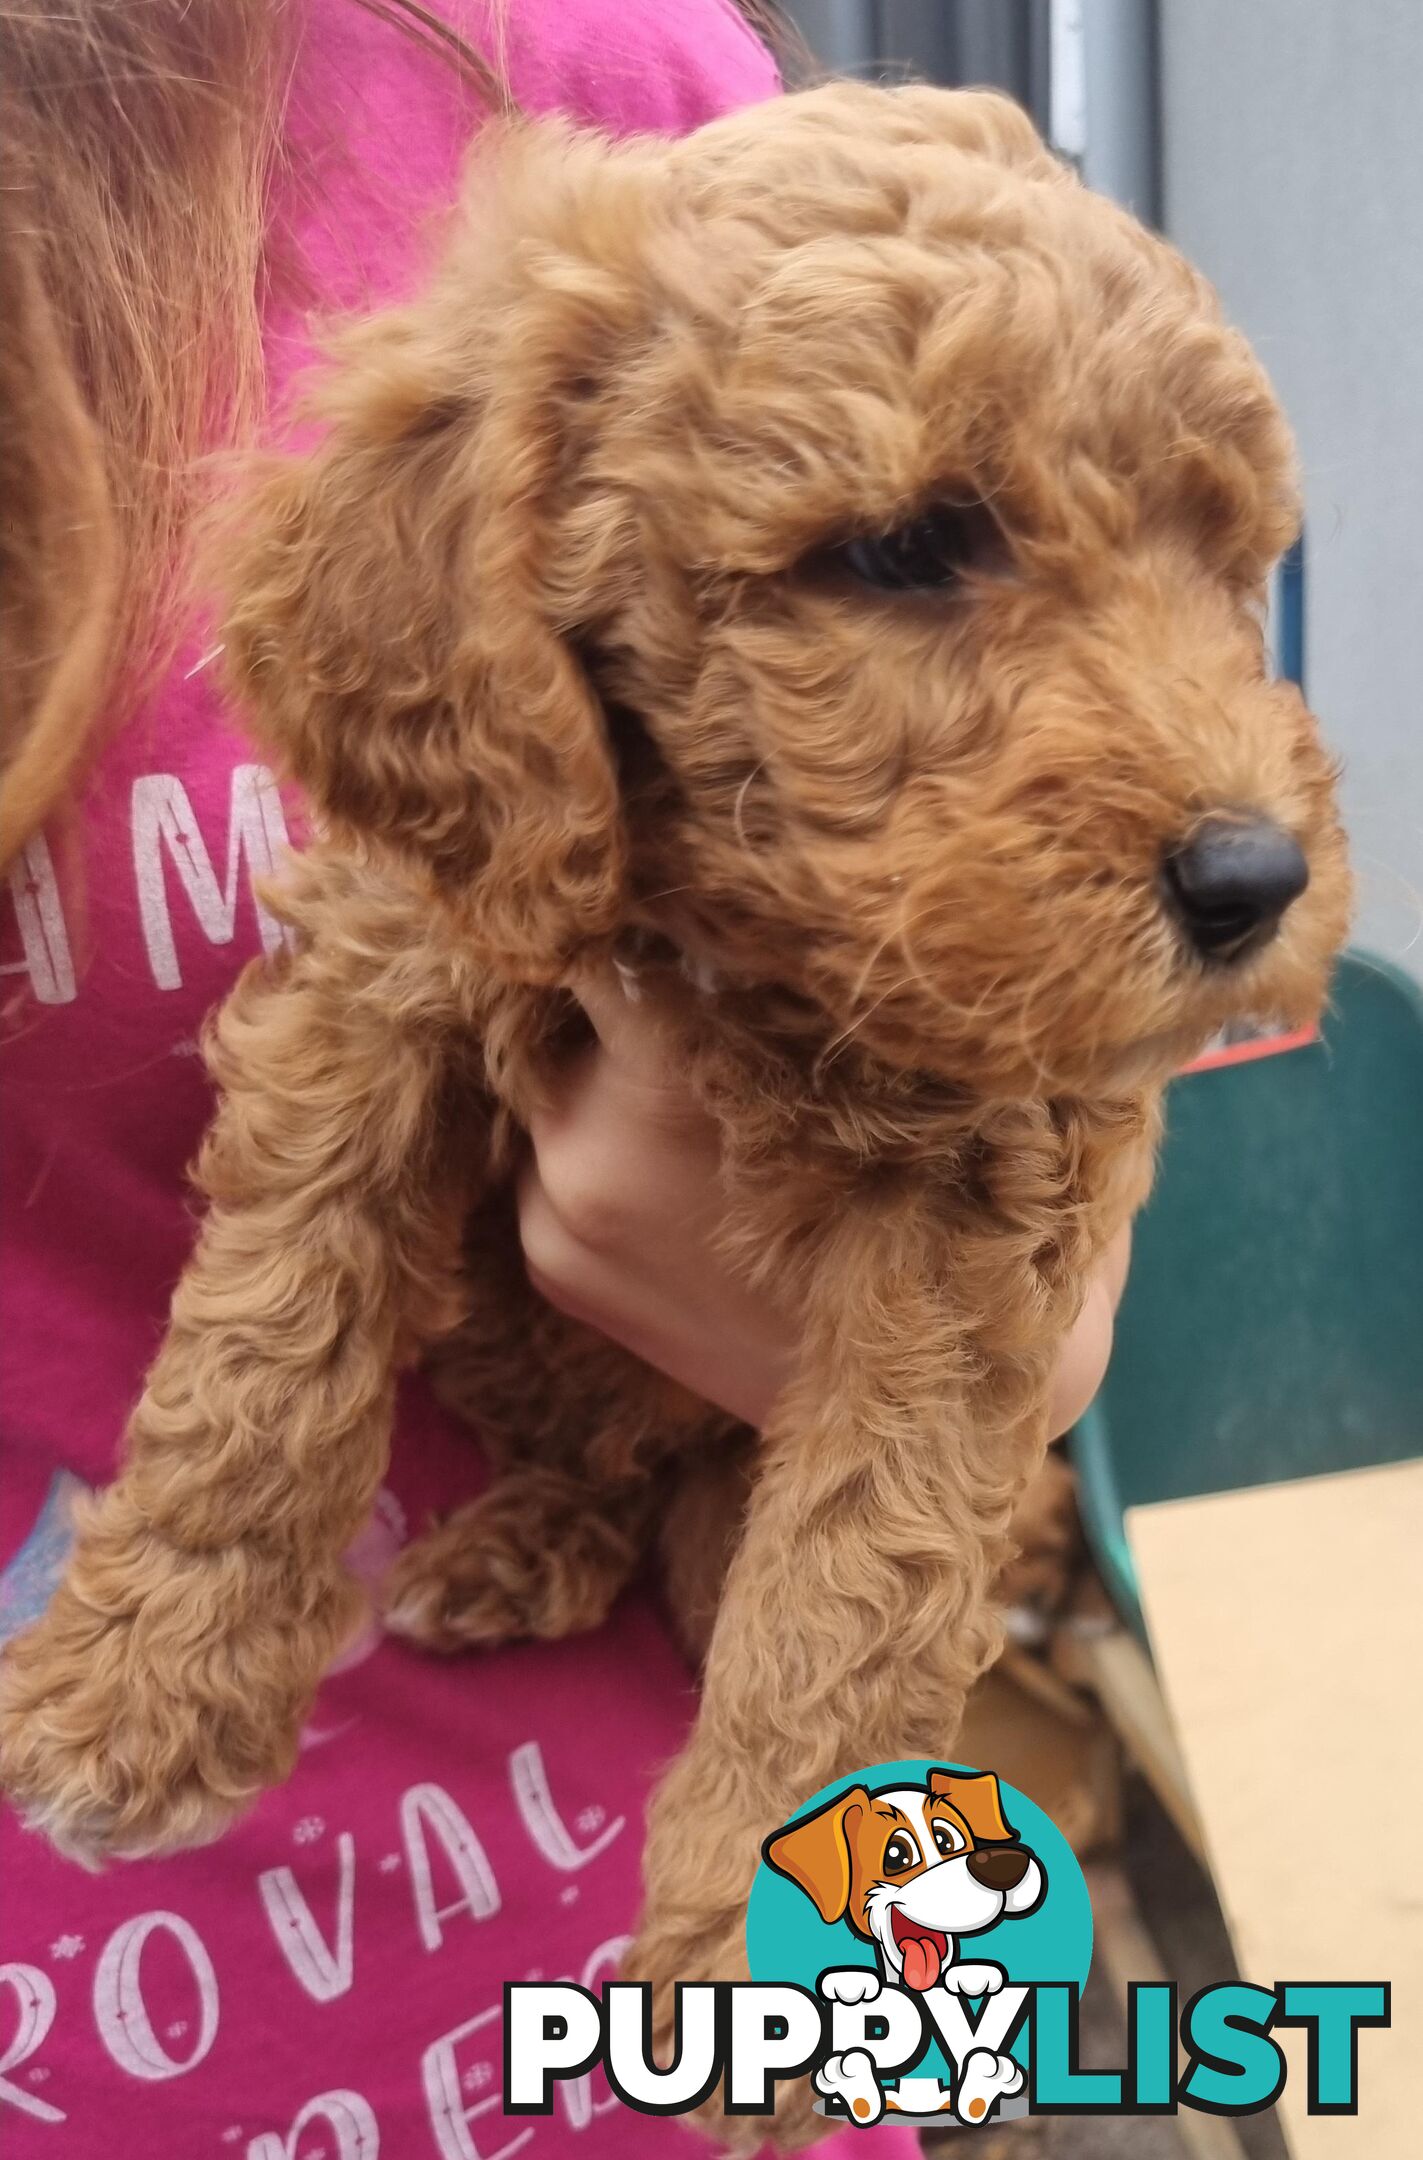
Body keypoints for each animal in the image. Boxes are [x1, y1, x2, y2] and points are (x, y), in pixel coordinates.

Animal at [0, 84, 1356, 2090]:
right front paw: (147, 1681)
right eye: (906, 548)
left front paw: (779, 1950)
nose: (1253, 879)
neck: (735, 949)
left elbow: (859, 1553)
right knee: (591, 1462)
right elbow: (267, 1330)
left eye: (1224, 562)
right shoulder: (390, 967)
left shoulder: (986, 1189)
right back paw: (517, 1550)